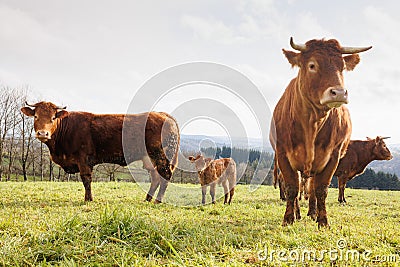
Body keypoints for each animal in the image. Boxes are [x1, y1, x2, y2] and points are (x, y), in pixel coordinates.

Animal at [20, 102, 180, 203]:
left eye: (53, 117)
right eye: (36, 116)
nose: (43, 133)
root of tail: (163, 114)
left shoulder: (83, 159)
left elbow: (86, 180)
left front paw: (88, 199)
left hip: (161, 155)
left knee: (165, 175)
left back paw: (157, 201)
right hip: (149, 158)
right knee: (156, 177)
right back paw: (147, 199)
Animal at [268, 37, 372, 228]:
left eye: (342, 67)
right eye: (312, 65)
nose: (339, 92)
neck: (312, 124)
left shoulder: (332, 157)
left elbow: (320, 189)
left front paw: (322, 220)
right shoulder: (283, 154)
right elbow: (292, 187)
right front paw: (288, 219)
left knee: (311, 188)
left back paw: (312, 212)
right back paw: (298, 213)